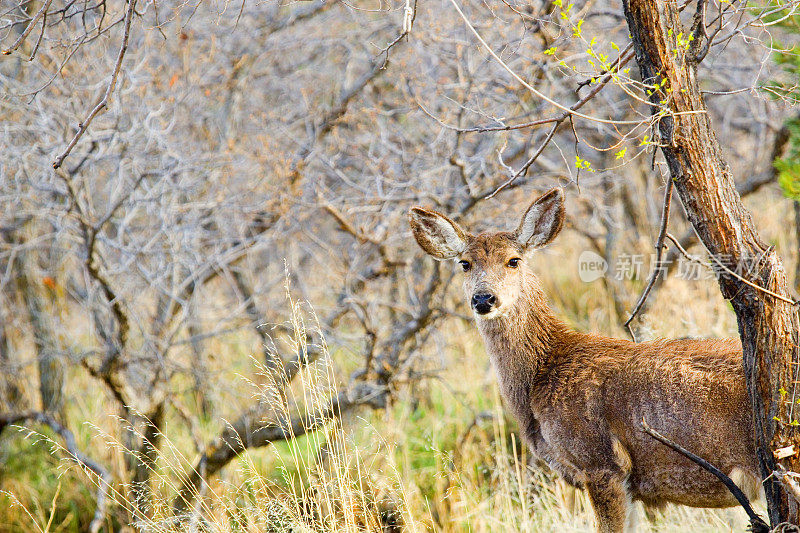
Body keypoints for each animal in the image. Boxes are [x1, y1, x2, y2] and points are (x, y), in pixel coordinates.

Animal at [412, 189, 764, 532]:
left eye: (513, 260)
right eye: (465, 263)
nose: (484, 298)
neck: (544, 371)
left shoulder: (600, 461)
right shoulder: (626, 481)